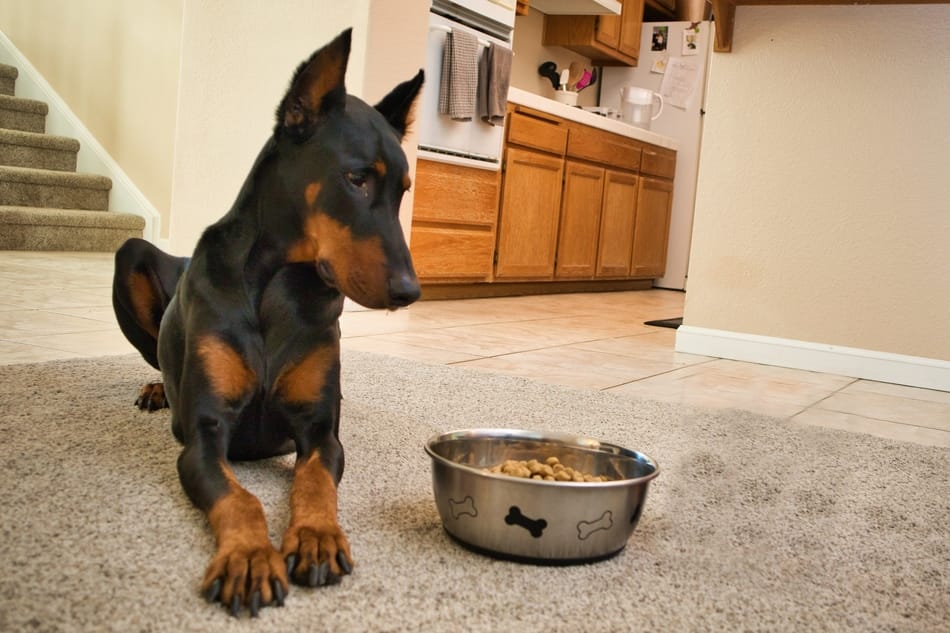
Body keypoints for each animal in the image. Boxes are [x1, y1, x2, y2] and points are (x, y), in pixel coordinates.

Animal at [110, 30, 424, 616]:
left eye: (404, 190)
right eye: (356, 179)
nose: (410, 292)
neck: (277, 284)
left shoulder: (320, 430)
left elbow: (316, 479)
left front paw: (317, 536)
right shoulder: (205, 434)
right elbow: (241, 497)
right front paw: (251, 557)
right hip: (130, 255)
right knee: (155, 357)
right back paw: (156, 388)